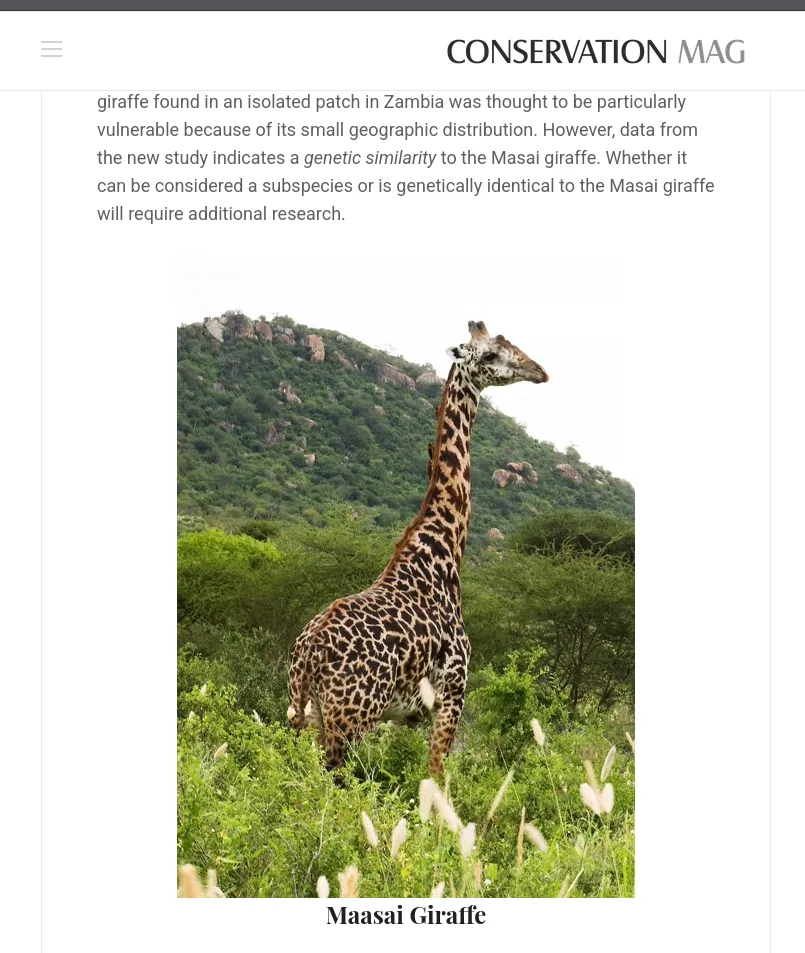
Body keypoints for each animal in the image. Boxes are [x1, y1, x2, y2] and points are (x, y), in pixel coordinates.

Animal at [287, 321, 549, 775]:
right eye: (490, 355)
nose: (539, 371)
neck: (444, 548)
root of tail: (308, 657)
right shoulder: (452, 695)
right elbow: (436, 774)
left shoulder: (404, 715)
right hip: (349, 722)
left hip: (299, 714)